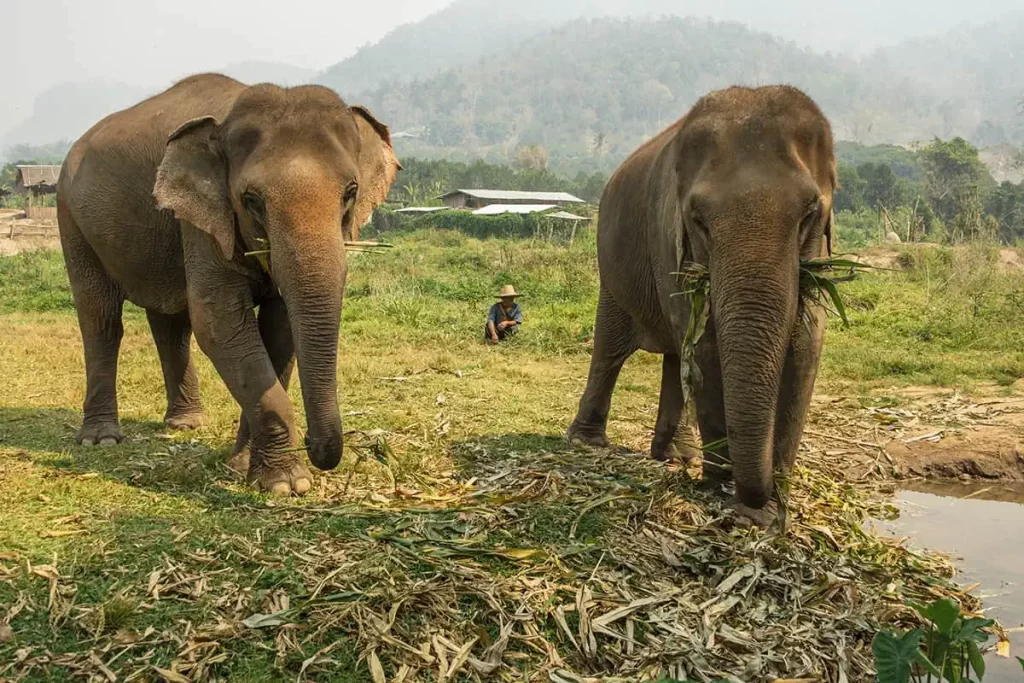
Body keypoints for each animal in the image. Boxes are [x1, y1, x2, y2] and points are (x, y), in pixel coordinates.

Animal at [57, 73, 400, 495]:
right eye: (251, 200)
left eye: (350, 192)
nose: (315, 445)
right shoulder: (201, 223)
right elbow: (219, 324)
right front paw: (286, 484)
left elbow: (279, 330)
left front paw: (242, 469)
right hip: (70, 217)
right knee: (101, 318)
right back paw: (101, 438)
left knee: (170, 324)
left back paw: (185, 424)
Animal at [567, 85, 836, 526]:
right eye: (699, 220)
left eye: (809, 214)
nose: (760, 490)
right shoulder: (668, 239)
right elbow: (707, 347)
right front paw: (731, 499)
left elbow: (805, 348)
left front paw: (772, 508)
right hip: (612, 269)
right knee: (611, 349)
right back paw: (588, 443)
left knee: (677, 356)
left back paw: (677, 457)